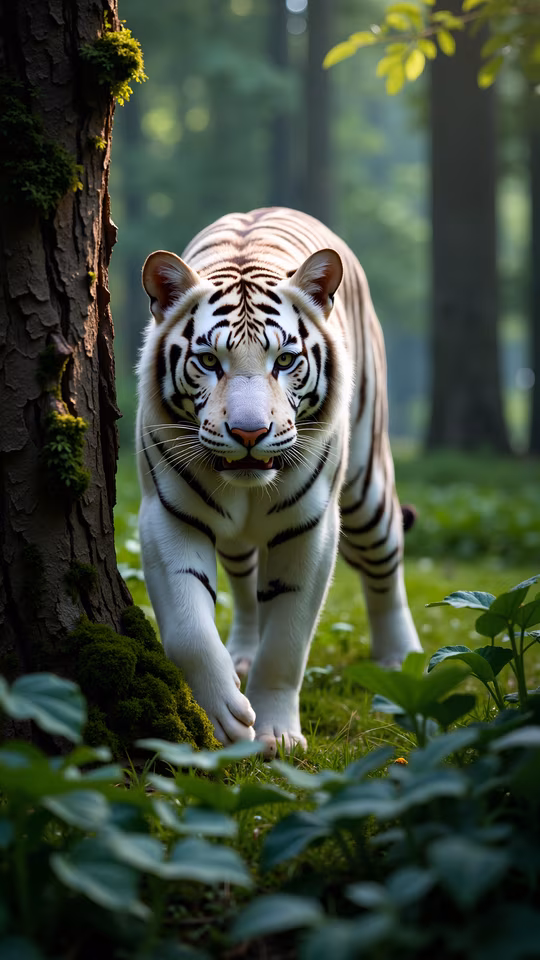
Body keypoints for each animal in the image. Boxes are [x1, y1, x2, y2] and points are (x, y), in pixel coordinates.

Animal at [136, 207, 422, 757]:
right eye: (209, 361)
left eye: (285, 360)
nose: (250, 433)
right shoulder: (168, 516)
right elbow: (188, 629)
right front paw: (226, 715)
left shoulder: (311, 529)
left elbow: (287, 643)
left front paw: (277, 735)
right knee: (247, 588)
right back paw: (241, 654)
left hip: (368, 487)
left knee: (386, 561)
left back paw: (401, 658)